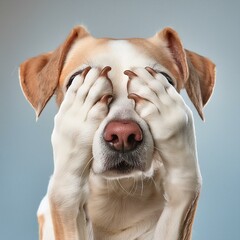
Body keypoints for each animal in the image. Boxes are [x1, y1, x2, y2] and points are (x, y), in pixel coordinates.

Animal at [19, 25, 216, 239]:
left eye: (165, 81)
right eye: (76, 80)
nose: (123, 134)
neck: (116, 196)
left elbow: (184, 186)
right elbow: (66, 194)